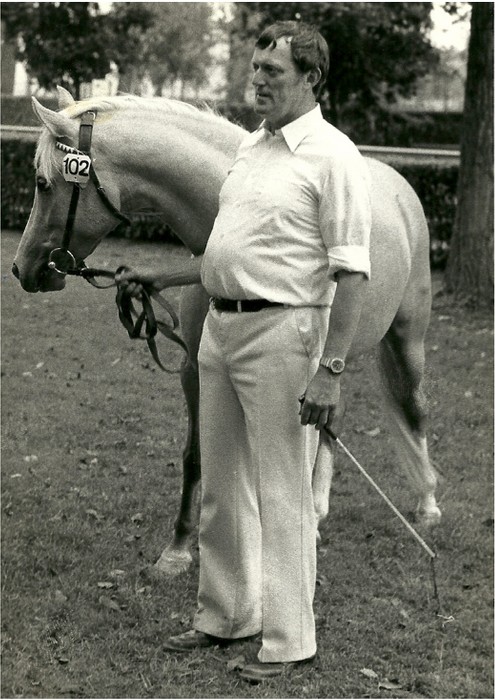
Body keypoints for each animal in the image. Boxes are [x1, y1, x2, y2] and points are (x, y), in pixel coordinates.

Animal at [11, 89, 442, 576]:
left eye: (43, 183)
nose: (22, 268)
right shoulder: (197, 371)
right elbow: (197, 455)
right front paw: (179, 549)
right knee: (333, 420)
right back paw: (317, 509)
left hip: (404, 342)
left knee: (413, 408)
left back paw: (425, 504)